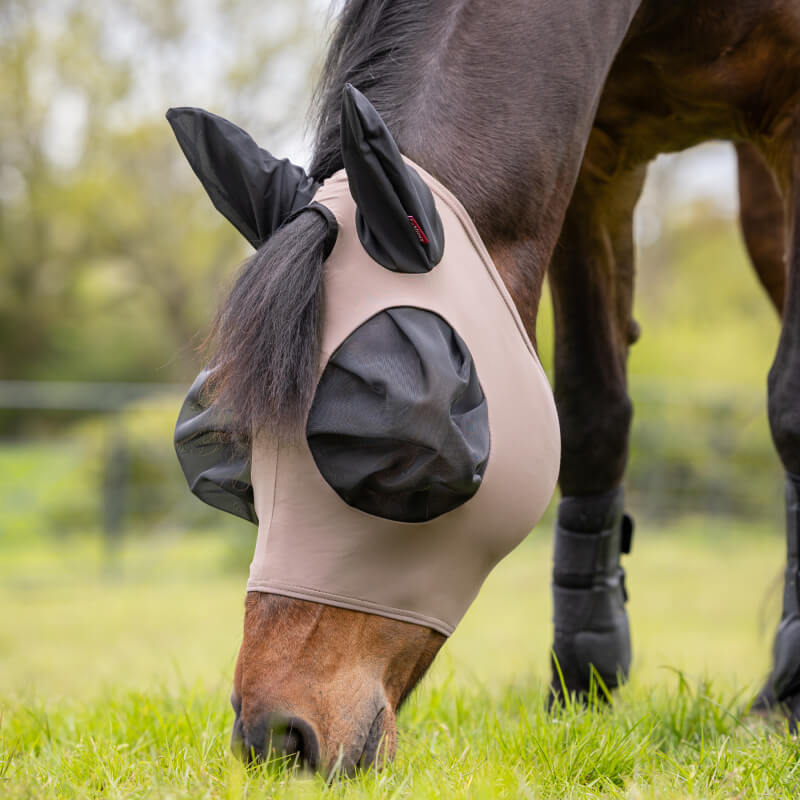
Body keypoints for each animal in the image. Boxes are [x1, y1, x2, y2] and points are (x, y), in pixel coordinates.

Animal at [180, 0, 800, 775]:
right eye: (230, 455)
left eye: (401, 449)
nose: (276, 737)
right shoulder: (593, 156)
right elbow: (592, 417)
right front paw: (583, 685)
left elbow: (789, 407)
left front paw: (781, 703)